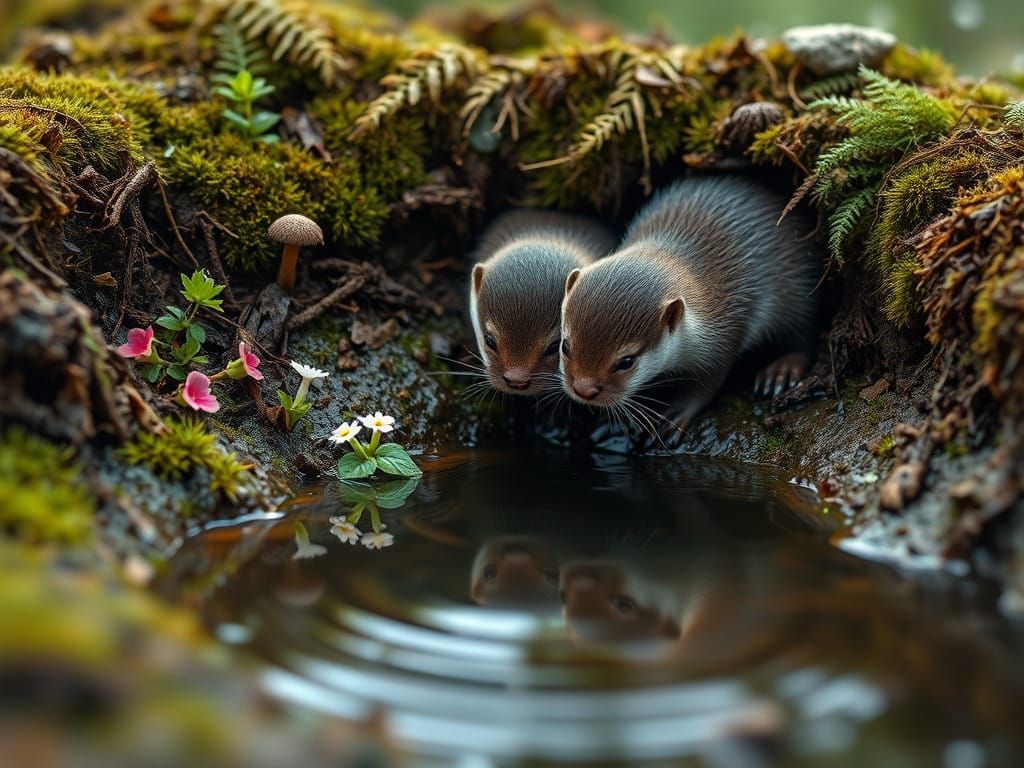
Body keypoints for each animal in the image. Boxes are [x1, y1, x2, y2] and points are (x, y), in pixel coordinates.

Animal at [559, 176, 819, 434]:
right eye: (564, 346)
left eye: (626, 362)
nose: (583, 390)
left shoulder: (726, 334)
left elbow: (707, 383)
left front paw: (679, 412)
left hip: (796, 291)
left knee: (803, 334)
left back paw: (782, 370)